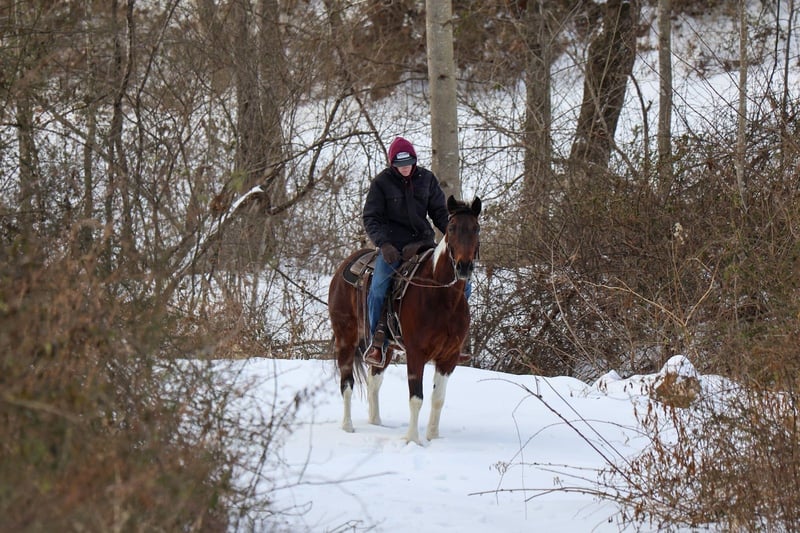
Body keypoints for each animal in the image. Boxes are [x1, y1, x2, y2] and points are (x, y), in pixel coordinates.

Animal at [327, 195, 481, 444]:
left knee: (373, 381)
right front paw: (412, 440)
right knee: (347, 383)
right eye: (451, 228)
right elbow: (416, 398)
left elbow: (438, 399)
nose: (464, 267)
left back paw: (376, 422)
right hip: (346, 339)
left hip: (385, 348)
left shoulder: (449, 357)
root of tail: (346, 264)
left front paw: (433, 437)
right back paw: (348, 426)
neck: (442, 297)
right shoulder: (416, 353)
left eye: (476, 228)